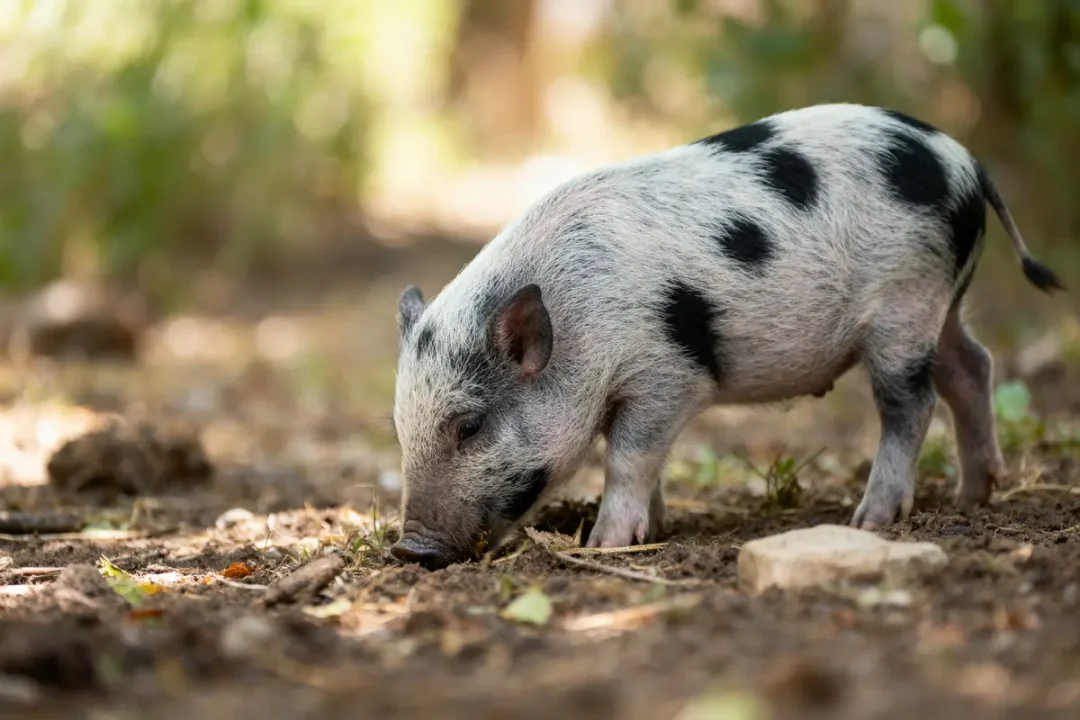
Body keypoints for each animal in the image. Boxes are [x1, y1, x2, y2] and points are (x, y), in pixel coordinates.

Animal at [388, 103, 1064, 569]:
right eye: (399, 429)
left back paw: (871, 520)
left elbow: (630, 457)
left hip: (906, 302)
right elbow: (648, 465)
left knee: (912, 403)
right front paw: (655, 528)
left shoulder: (666, 375)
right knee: (972, 366)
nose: (409, 550)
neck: (582, 322)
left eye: (470, 425)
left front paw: (607, 544)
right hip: (941, 303)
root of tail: (965, 159)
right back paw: (975, 495)